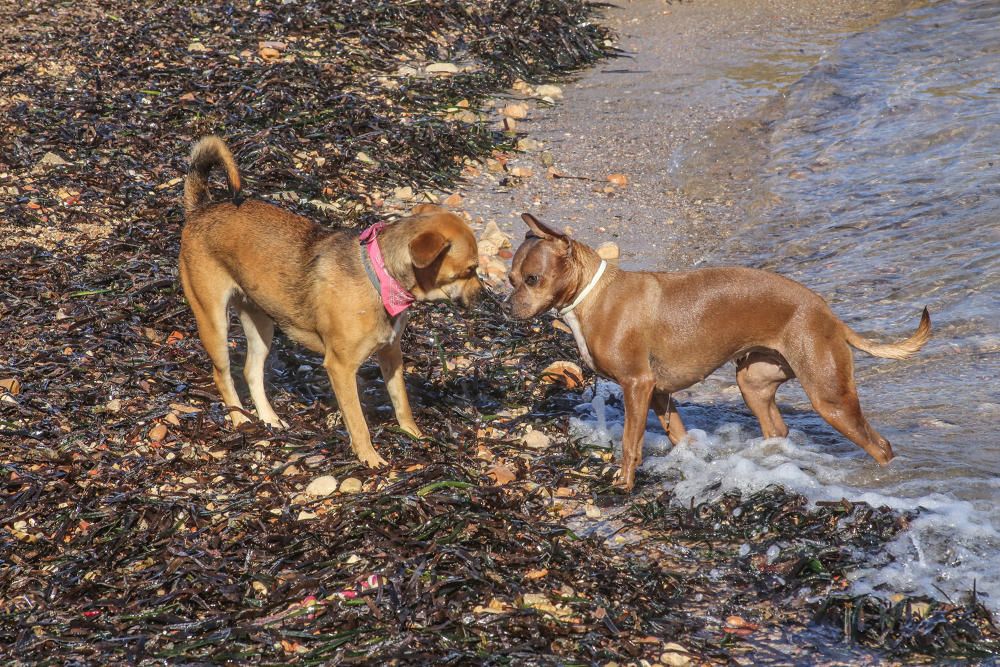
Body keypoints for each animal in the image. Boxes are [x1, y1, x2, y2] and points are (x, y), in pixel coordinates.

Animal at [180, 136, 480, 468]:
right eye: (470, 270)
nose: (483, 294)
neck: (381, 277)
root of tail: (201, 209)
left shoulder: (391, 353)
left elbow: (401, 402)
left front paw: (414, 435)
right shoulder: (341, 367)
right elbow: (358, 421)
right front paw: (370, 458)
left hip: (261, 324)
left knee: (251, 371)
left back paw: (270, 420)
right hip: (213, 321)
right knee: (222, 375)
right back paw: (240, 420)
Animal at [512, 214, 932, 490]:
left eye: (533, 279)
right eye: (511, 278)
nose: (507, 305)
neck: (593, 296)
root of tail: (830, 316)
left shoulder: (637, 385)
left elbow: (630, 444)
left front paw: (624, 484)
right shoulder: (658, 393)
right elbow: (679, 437)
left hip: (830, 399)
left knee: (881, 447)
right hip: (754, 384)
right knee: (778, 429)